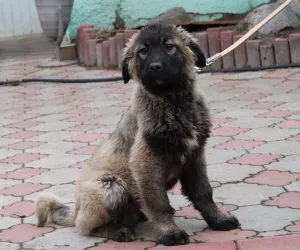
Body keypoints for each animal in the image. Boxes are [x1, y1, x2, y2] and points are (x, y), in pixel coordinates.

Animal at [35, 23, 240, 246]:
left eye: (169, 46)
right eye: (143, 51)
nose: (155, 67)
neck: (172, 102)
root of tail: (77, 209)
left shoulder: (195, 156)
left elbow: (203, 192)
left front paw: (218, 220)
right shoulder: (146, 163)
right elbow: (159, 203)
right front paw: (170, 232)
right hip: (110, 186)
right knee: (84, 226)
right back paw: (117, 230)